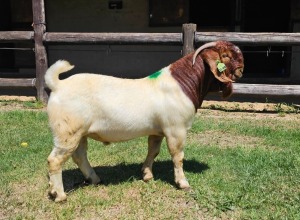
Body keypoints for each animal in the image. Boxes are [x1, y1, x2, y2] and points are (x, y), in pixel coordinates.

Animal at [46, 40, 244, 202]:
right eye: (226, 56)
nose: (241, 70)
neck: (182, 84)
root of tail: (58, 85)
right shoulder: (176, 129)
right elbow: (178, 156)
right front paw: (183, 183)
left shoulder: (157, 131)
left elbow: (153, 151)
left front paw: (147, 175)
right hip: (67, 131)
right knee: (54, 160)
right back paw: (60, 195)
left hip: (80, 133)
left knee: (79, 156)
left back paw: (94, 179)